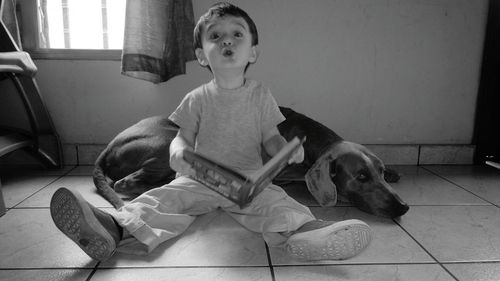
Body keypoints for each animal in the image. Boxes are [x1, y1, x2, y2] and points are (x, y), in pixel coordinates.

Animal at [93, 106, 406, 218]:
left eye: (378, 171)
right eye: (361, 176)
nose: (403, 206)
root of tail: (107, 147)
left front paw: (394, 171)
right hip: (170, 142)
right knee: (125, 183)